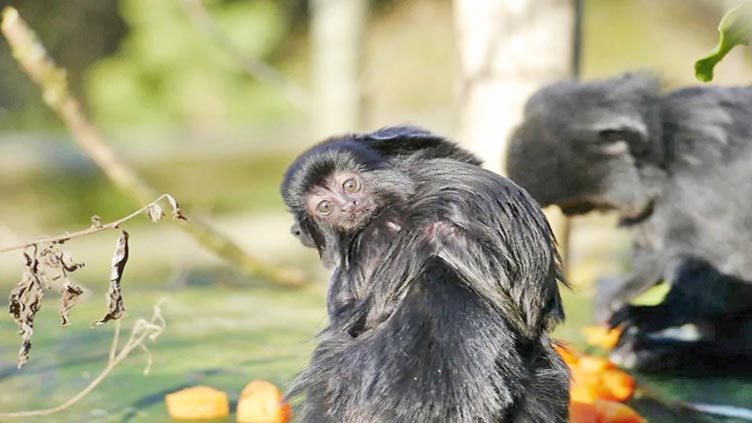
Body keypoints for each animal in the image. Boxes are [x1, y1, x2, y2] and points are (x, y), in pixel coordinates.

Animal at [502, 73, 752, 374]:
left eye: (575, 202)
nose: (570, 211)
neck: (665, 155)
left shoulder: (704, 176)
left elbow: (729, 268)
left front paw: (650, 314)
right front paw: (619, 293)